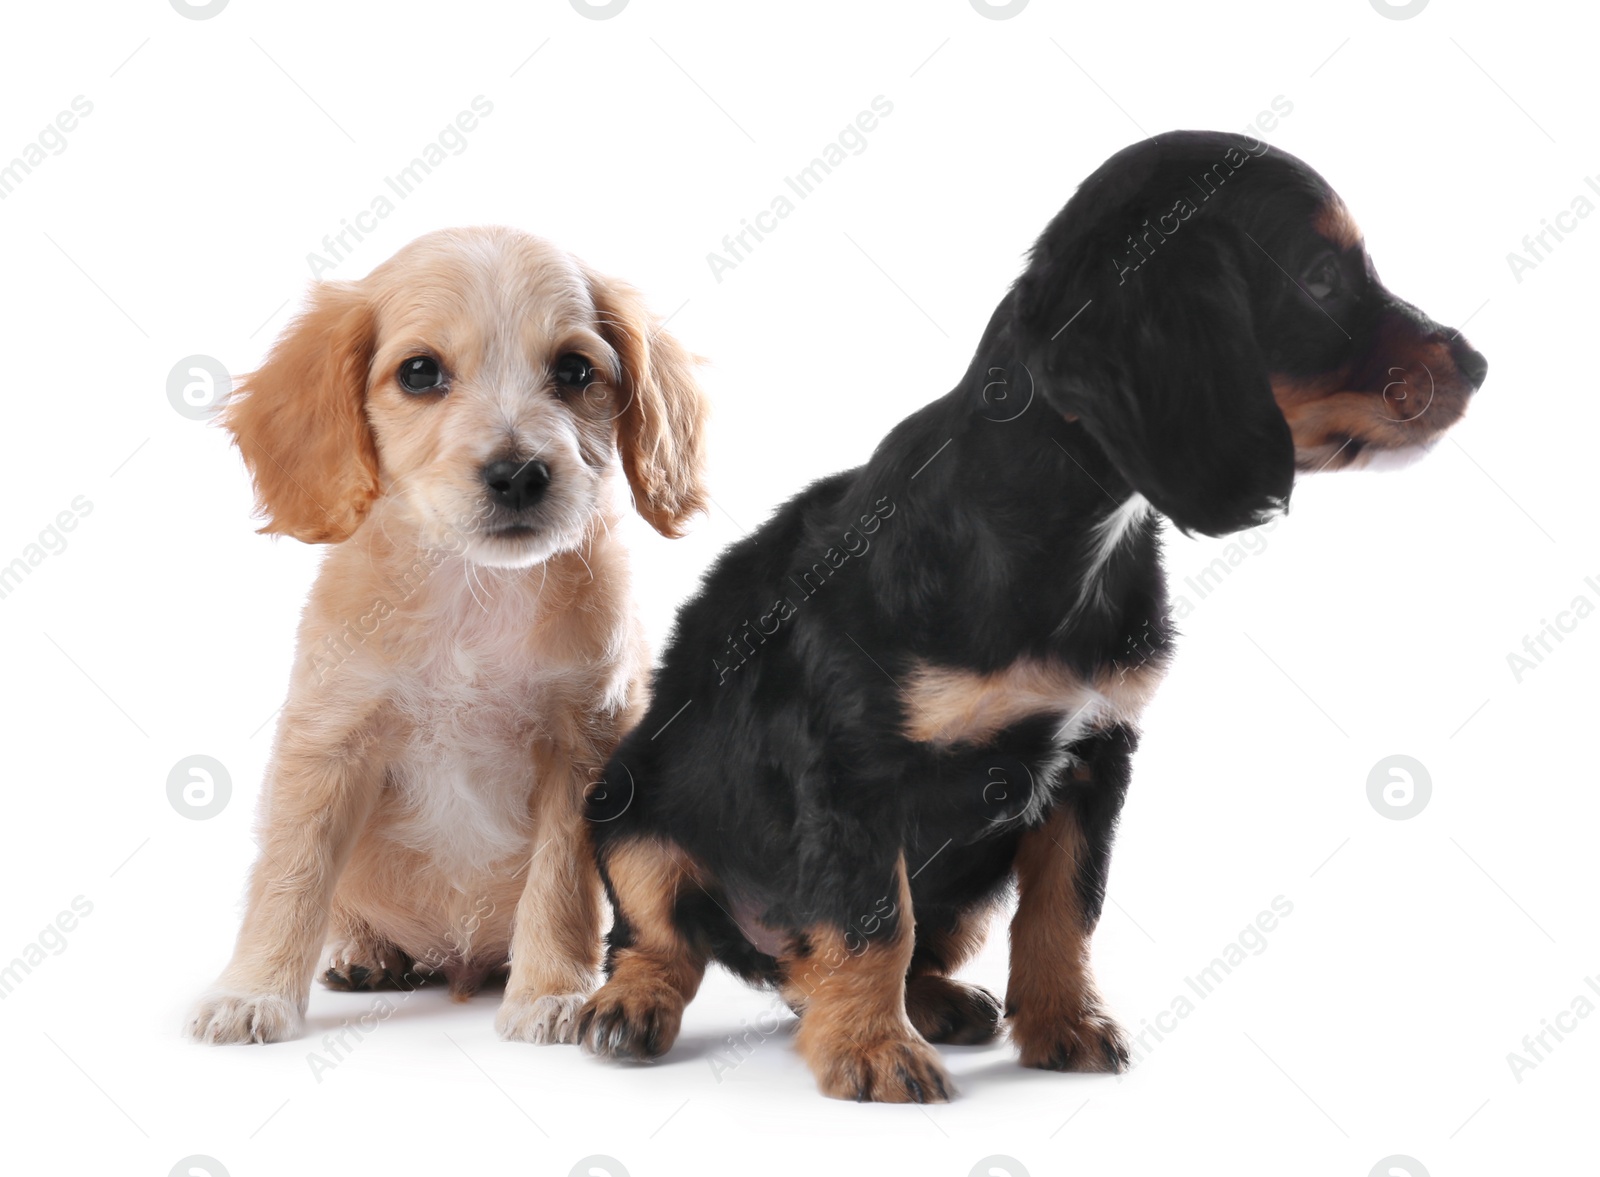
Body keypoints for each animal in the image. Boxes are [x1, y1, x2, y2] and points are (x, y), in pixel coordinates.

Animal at [576, 133, 1484, 1100]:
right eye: (1318, 278)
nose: (1478, 363)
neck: (1067, 525)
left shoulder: (1094, 755)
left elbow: (1063, 910)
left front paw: (1063, 1025)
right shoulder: (851, 765)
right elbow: (872, 915)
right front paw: (872, 1050)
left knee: (879, 954)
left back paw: (931, 1002)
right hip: (628, 802)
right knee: (660, 931)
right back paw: (635, 1005)